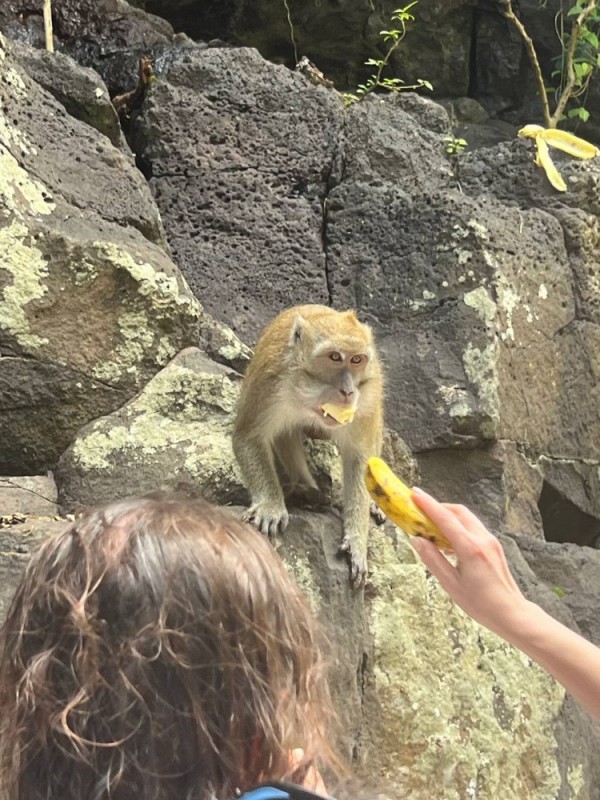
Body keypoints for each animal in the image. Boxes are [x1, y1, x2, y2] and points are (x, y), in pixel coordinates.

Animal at [232, 304, 382, 584]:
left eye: (357, 360)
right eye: (334, 357)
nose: (348, 391)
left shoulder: (367, 396)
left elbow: (360, 459)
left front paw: (357, 540)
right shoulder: (270, 379)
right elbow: (248, 436)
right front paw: (270, 506)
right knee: (285, 433)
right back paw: (306, 490)